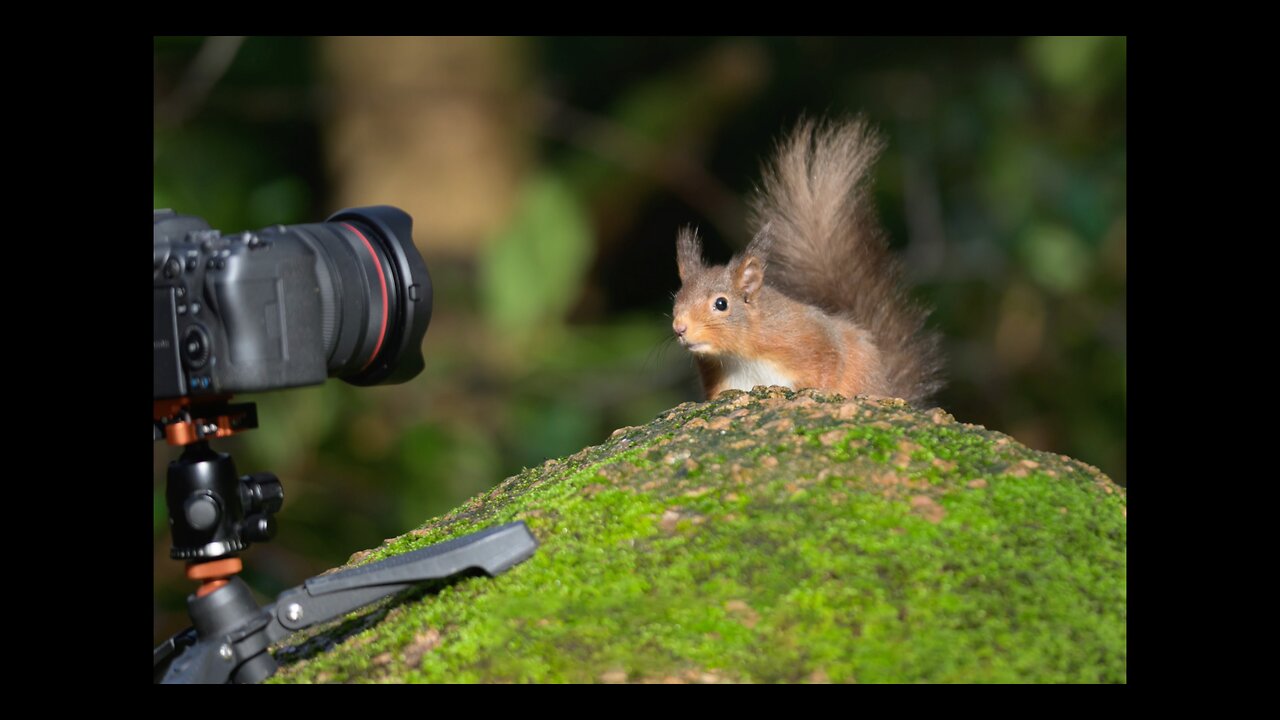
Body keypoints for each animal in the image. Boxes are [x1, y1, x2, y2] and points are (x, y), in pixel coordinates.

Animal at [670, 117, 942, 404]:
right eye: (677, 298)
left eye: (721, 304)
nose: (680, 328)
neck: (741, 354)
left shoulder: (807, 337)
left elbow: (829, 361)